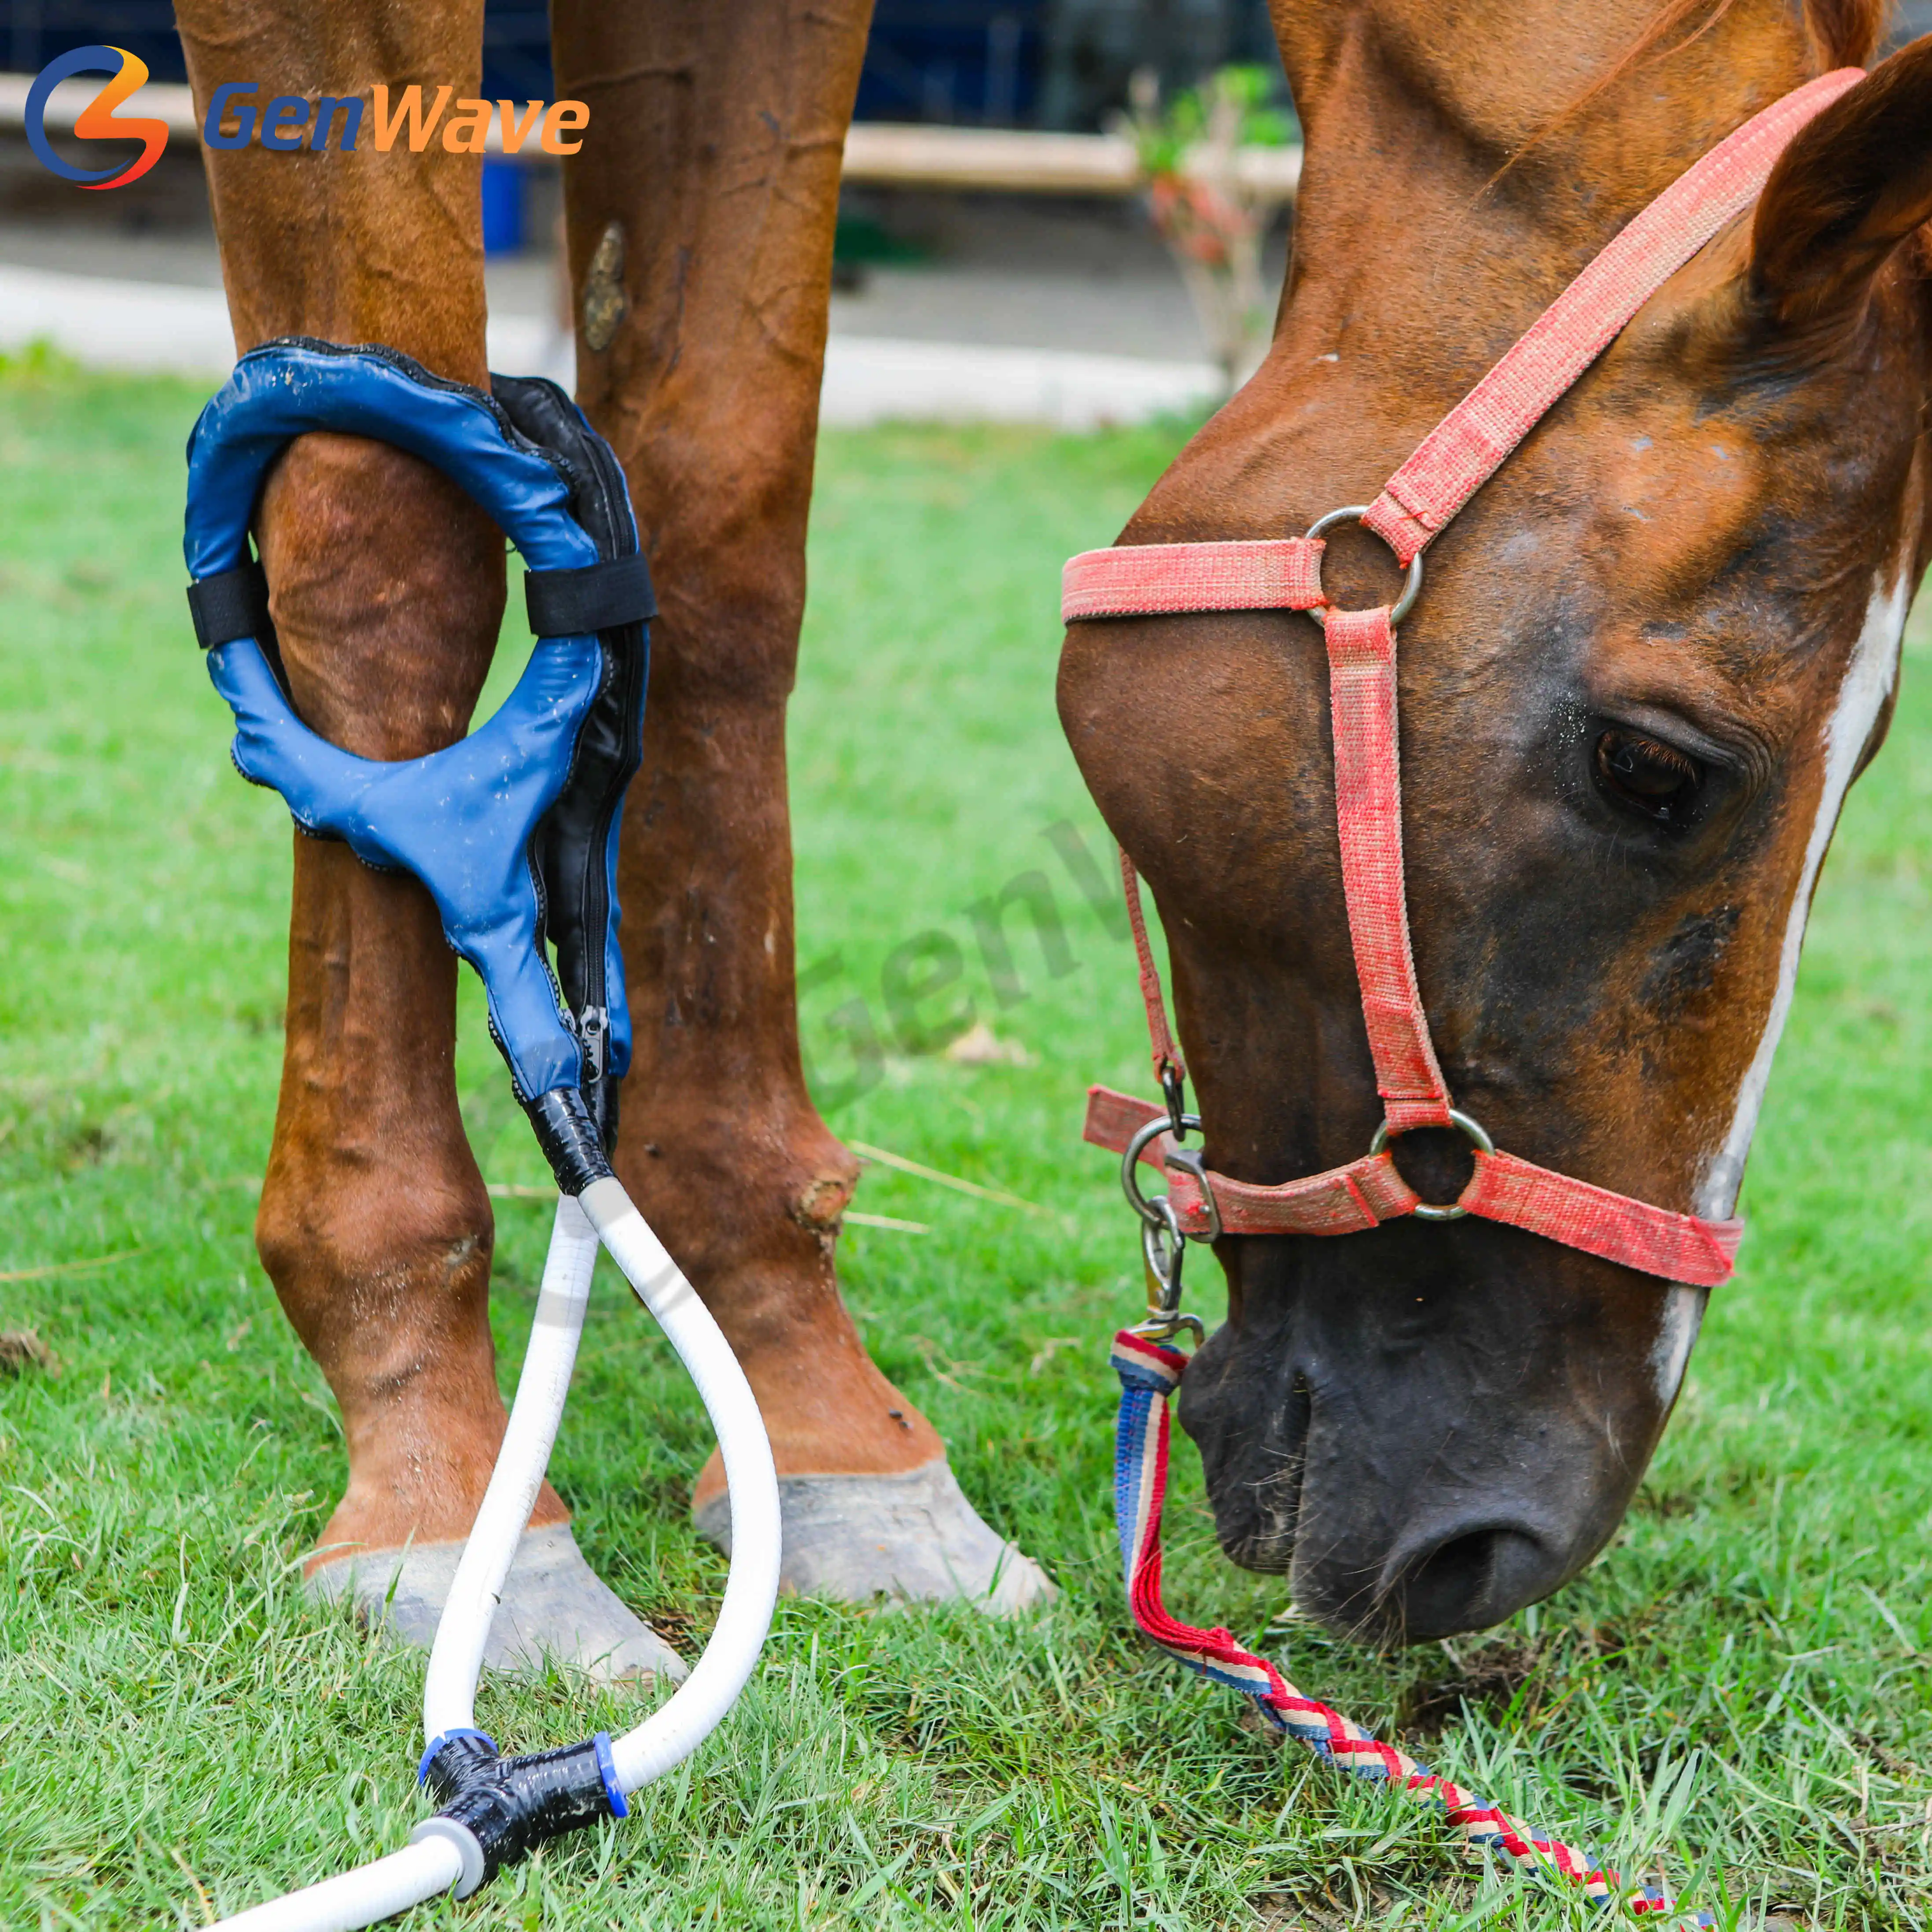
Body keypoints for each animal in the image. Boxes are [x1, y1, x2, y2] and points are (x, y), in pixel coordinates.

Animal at [170, 0, 1930, 1668]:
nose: (1510, 1538)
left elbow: (725, 519)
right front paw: (446, 1478)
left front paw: (820, 1421)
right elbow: (382, 539)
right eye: (1652, 769)